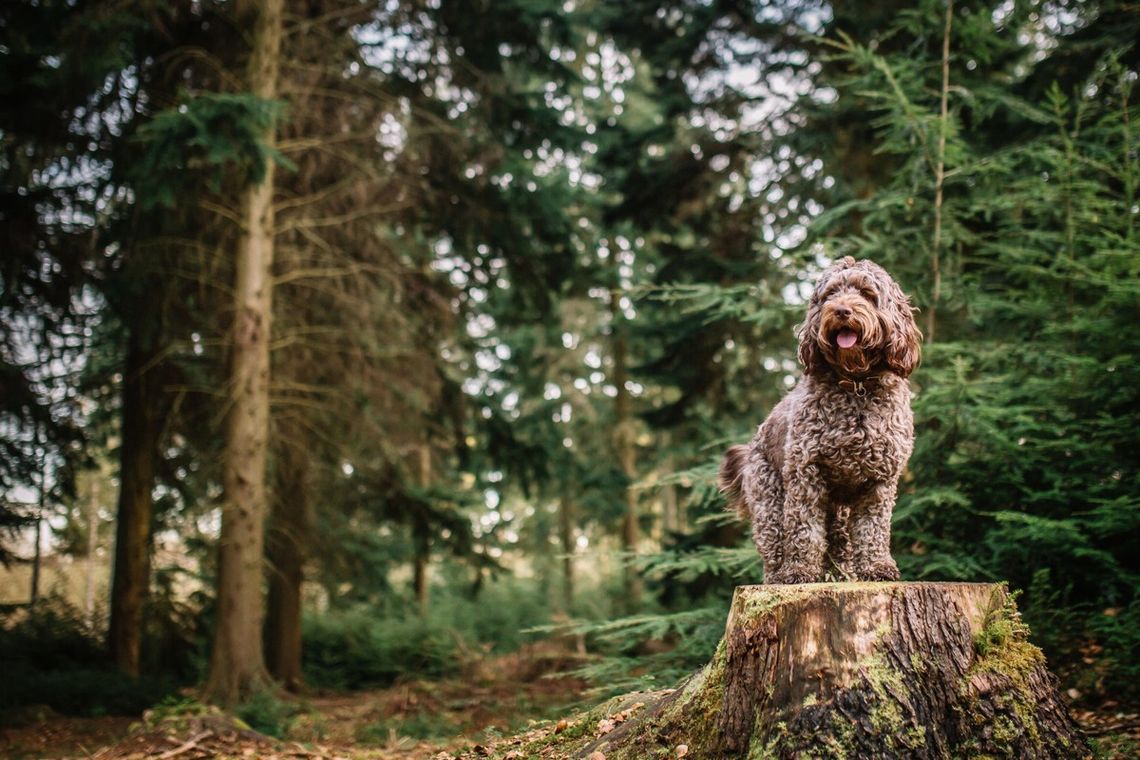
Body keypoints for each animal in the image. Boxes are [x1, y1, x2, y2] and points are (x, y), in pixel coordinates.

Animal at [725, 258, 921, 587]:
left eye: (866, 294)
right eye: (830, 294)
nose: (841, 310)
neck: (856, 385)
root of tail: (753, 443)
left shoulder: (879, 481)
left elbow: (872, 529)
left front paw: (877, 567)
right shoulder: (806, 474)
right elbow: (803, 530)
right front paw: (799, 571)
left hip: (836, 508)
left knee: (838, 540)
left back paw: (840, 574)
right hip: (769, 496)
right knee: (775, 541)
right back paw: (779, 576)